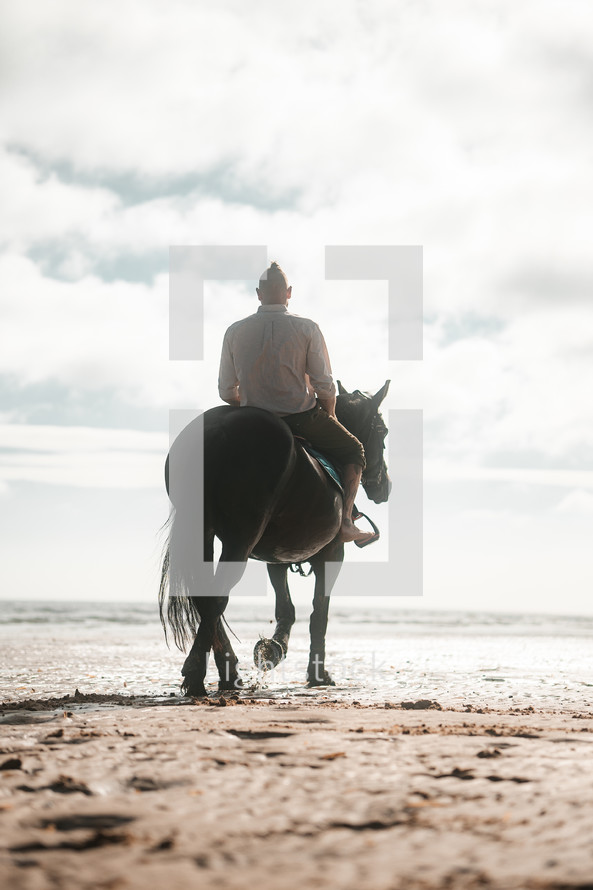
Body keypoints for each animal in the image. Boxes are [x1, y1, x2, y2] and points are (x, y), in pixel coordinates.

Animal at [157, 380, 390, 692]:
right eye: (383, 431)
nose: (385, 485)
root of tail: (217, 428)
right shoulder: (332, 555)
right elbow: (319, 613)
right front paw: (317, 674)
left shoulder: (277, 557)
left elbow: (286, 608)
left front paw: (273, 649)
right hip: (240, 537)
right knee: (217, 598)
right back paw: (198, 674)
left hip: (204, 533)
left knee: (206, 600)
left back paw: (227, 671)